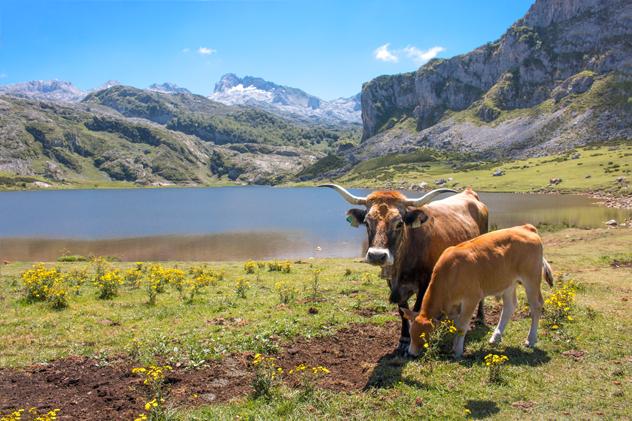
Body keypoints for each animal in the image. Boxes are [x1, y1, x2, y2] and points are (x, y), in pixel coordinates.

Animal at [320, 182, 488, 352]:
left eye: (399, 223)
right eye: (367, 222)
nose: (377, 255)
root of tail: (469, 193)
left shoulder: (425, 282)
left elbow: (416, 309)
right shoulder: (393, 284)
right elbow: (402, 310)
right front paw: (404, 338)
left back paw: (480, 317)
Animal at [402, 223, 552, 358]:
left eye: (425, 336)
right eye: (411, 333)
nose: (411, 354)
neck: (450, 274)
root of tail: (525, 227)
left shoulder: (471, 298)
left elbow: (462, 325)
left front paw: (457, 351)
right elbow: (457, 324)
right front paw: (455, 345)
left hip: (531, 278)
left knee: (536, 306)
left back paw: (530, 339)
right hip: (508, 282)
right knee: (510, 306)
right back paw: (495, 337)